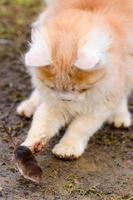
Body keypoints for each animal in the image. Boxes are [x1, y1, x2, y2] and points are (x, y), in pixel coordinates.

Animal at [16, 0, 133, 159]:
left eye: (80, 89)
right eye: (53, 87)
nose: (66, 99)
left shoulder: (101, 101)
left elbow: (79, 127)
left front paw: (68, 147)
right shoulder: (53, 101)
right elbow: (42, 123)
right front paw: (32, 143)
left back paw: (120, 116)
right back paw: (29, 106)